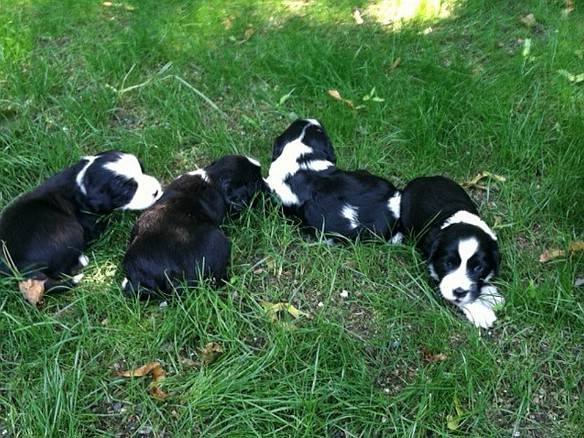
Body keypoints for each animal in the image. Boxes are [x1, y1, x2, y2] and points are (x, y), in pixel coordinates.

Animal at [0, 150, 162, 298]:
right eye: (128, 189)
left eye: (142, 169)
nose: (156, 191)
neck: (83, 182)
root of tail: (20, 265)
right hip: (71, 230)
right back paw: (82, 260)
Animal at [400, 175, 504, 328]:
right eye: (448, 263)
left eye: (478, 268)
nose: (459, 292)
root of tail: (424, 177)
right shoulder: (433, 272)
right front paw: (480, 313)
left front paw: (491, 295)